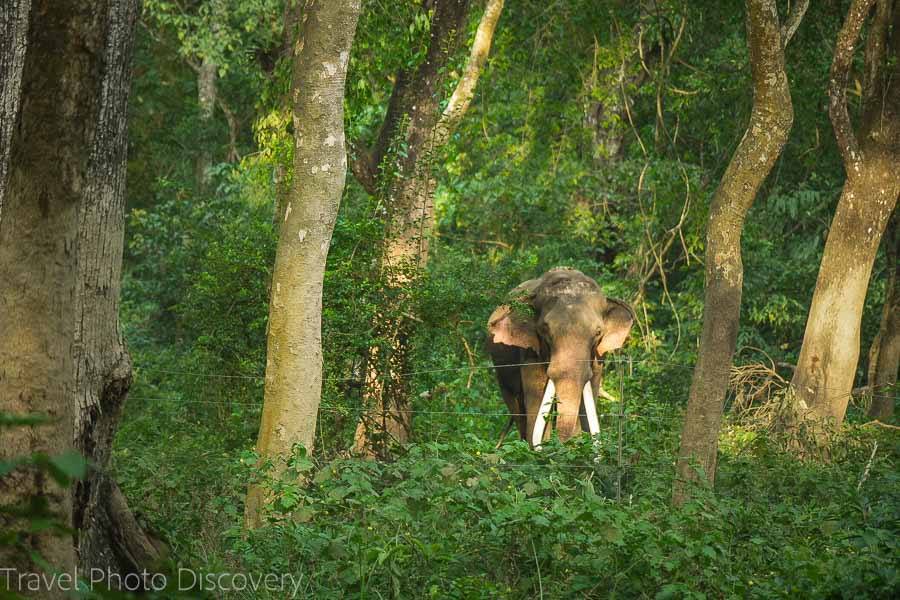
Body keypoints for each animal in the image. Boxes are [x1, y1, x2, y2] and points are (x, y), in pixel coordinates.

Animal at [486, 268, 632, 446]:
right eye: (545, 329)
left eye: (598, 332)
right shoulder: (530, 349)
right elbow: (536, 400)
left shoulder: (598, 356)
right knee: (517, 406)